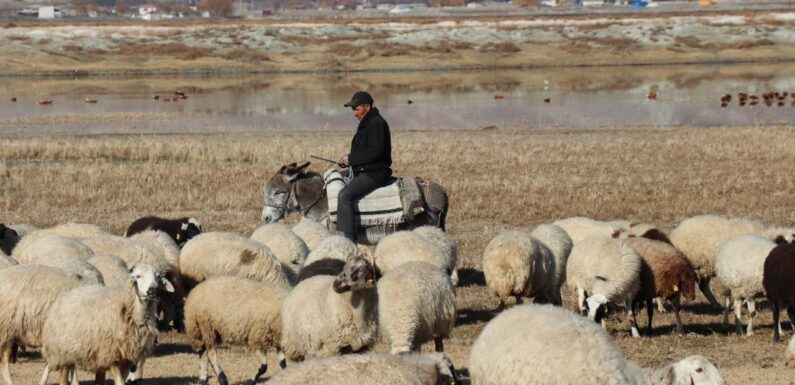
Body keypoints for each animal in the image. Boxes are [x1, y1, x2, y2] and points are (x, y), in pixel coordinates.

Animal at [39, 260, 174, 384]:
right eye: (138, 276)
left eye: (158, 277)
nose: (152, 291)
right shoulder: (111, 355)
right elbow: (119, 382)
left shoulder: (126, 358)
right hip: (62, 353)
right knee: (61, 377)